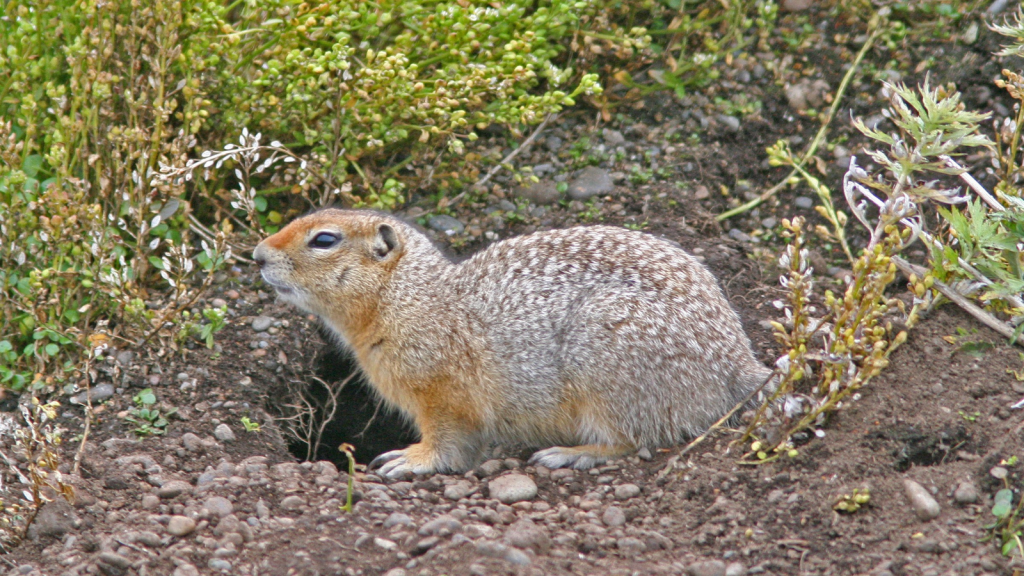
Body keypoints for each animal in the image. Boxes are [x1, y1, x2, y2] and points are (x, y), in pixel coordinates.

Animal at [253, 208, 770, 477]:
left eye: (323, 240)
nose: (257, 254)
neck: (407, 295)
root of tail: (739, 363)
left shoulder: (442, 394)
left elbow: (446, 442)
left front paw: (406, 459)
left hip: (609, 372)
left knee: (634, 441)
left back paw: (568, 453)